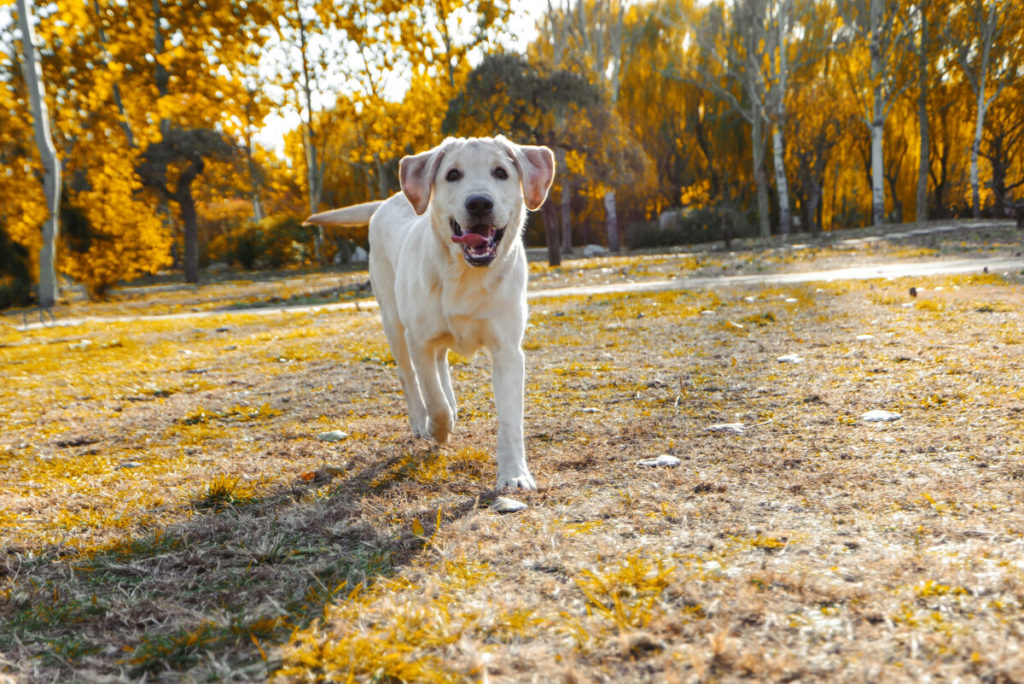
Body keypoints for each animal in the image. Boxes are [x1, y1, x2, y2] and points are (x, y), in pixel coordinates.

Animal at [303, 136, 557, 489]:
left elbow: (509, 419)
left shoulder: (508, 350)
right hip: (393, 324)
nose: (480, 203)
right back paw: (421, 421)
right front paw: (438, 429)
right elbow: (433, 398)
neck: (466, 275)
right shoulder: (419, 340)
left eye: (501, 172)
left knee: (441, 364)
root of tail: (388, 199)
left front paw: (514, 475)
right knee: (411, 378)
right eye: (452, 175)